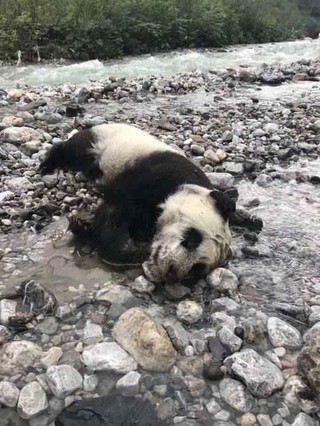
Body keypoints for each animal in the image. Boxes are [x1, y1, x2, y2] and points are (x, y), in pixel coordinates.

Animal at [40, 125, 235, 288]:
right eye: (192, 238)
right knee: (72, 149)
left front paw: (83, 225)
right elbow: (116, 212)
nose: (172, 272)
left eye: (197, 267)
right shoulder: (153, 176)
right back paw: (48, 164)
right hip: (102, 142)